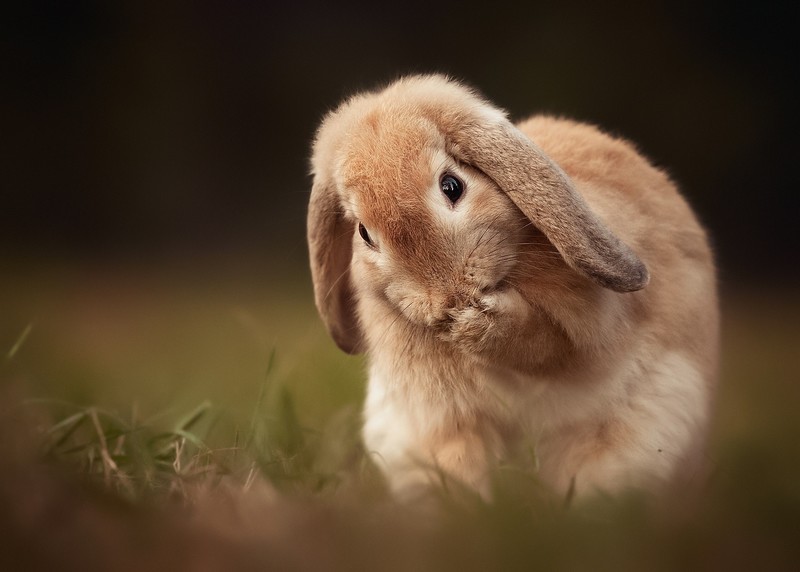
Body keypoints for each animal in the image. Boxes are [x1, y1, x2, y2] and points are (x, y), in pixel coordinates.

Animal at [307, 75, 719, 500]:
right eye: (363, 232)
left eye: (452, 186)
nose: (447, 298)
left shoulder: (589, 328)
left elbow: (544, 344)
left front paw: (473, 324)